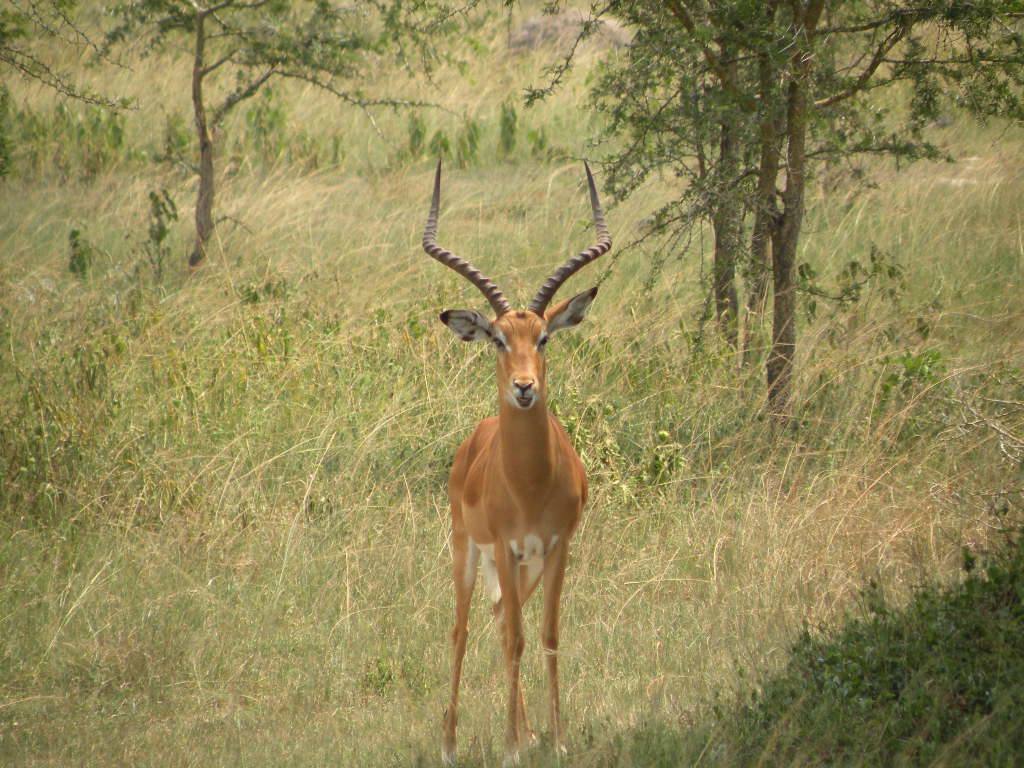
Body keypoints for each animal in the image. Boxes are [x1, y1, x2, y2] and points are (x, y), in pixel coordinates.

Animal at [422, 159, 612, 766]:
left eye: (545, 337)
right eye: (498, 340)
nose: (525, 387)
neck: (529, 482)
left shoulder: (556, 546)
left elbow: (546, 635)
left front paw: (555, 739)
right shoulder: (506, 546)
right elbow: (514, 640)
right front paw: (509, 748)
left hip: (523, 566)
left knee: (505, 616)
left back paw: (526, 732)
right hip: (466, 549)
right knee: (463, 629)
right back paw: (450, 742)